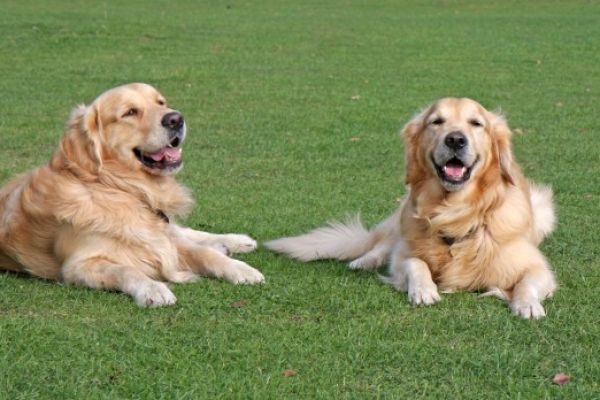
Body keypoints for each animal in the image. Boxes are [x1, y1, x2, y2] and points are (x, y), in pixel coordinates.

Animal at [0, 83, 262, 306]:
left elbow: (204, 254)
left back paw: (236, 241)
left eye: (161, 102)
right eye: (130, 112)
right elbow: (125, 269)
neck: (122, 189)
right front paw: (153, 289)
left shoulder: (161, 238)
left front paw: (241, 269)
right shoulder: (78, 265)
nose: (176, 118)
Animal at [268, 98, 556, 320]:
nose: (455, 140)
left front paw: (528, 305)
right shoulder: (405, 252)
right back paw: (362, 261)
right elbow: (415, 263)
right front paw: (423, 290)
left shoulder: (537, 266)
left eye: (476, 123)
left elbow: (528, 282)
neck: (456, 213)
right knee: (381, 246)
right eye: (436, 121)